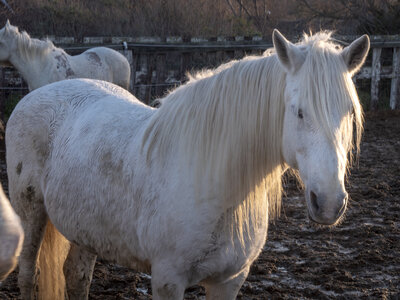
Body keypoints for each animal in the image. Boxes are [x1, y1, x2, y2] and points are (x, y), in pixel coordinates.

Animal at [5, 28, 368, 300]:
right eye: (299, 111)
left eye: (349, 112)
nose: (330, 203)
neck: (216, 186)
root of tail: (37, 94)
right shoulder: (168, 280)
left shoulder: (228, 282)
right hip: (31, 214)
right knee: (28, 275)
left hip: (86, 229)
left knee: (76, 277)